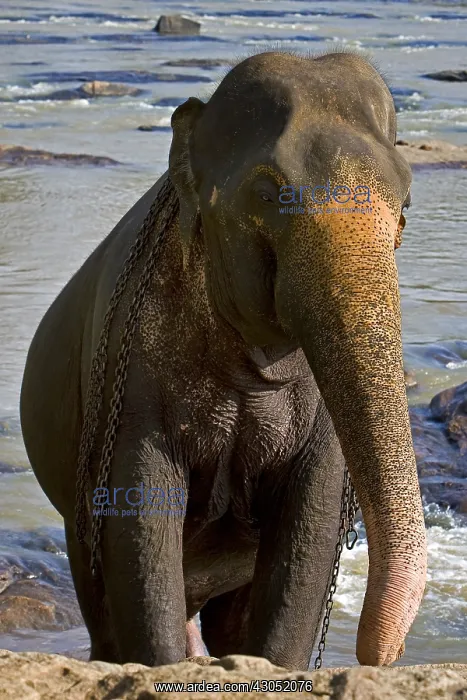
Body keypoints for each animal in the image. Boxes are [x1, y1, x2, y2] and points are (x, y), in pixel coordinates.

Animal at [20, 50, 427, 670]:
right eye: (268, 191)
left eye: (405, 204)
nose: (376, 656)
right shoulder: (128, 379)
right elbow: (140, 523)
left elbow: (309, 534)